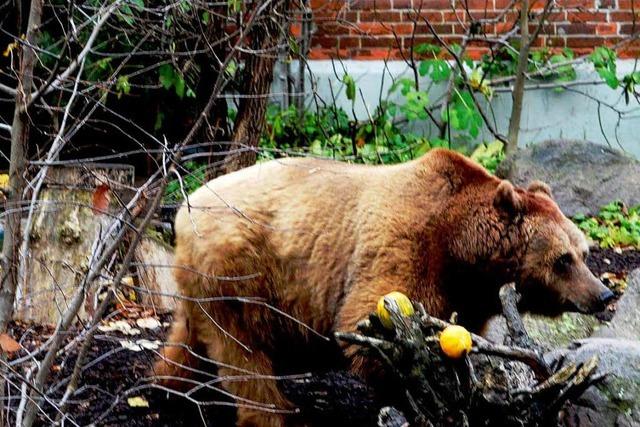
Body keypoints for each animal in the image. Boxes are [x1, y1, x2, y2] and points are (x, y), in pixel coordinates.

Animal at [152, 149, 612, 426]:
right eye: (563, 259)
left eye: (584, 251)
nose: (603, 294)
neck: (461, 250)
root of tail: (184, 208)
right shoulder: (405, 247)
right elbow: (374, 326)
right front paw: (423, 397)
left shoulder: (467, 295)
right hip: (240, 273)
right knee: (243, 354)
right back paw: (275, 411)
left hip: (205, 283)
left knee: (192, 336)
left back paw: (169, 387)